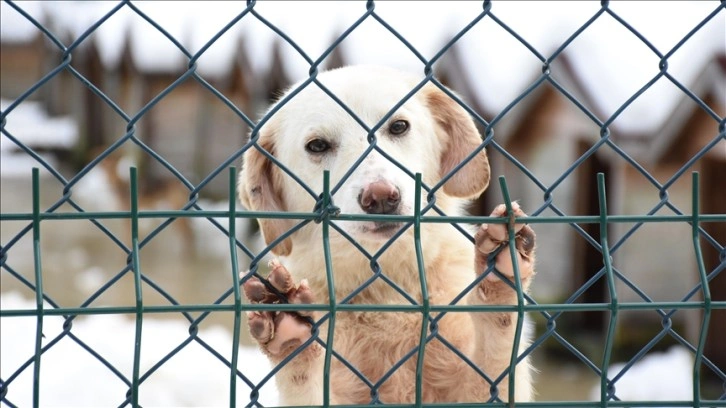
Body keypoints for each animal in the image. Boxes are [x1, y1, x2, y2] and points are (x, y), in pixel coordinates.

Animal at [237, 65, 536, 404]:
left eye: (399, 126)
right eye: (317, 146)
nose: (381, 197)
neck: (385, 286)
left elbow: (496, 354)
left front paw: (499, 278)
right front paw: (294, 341)